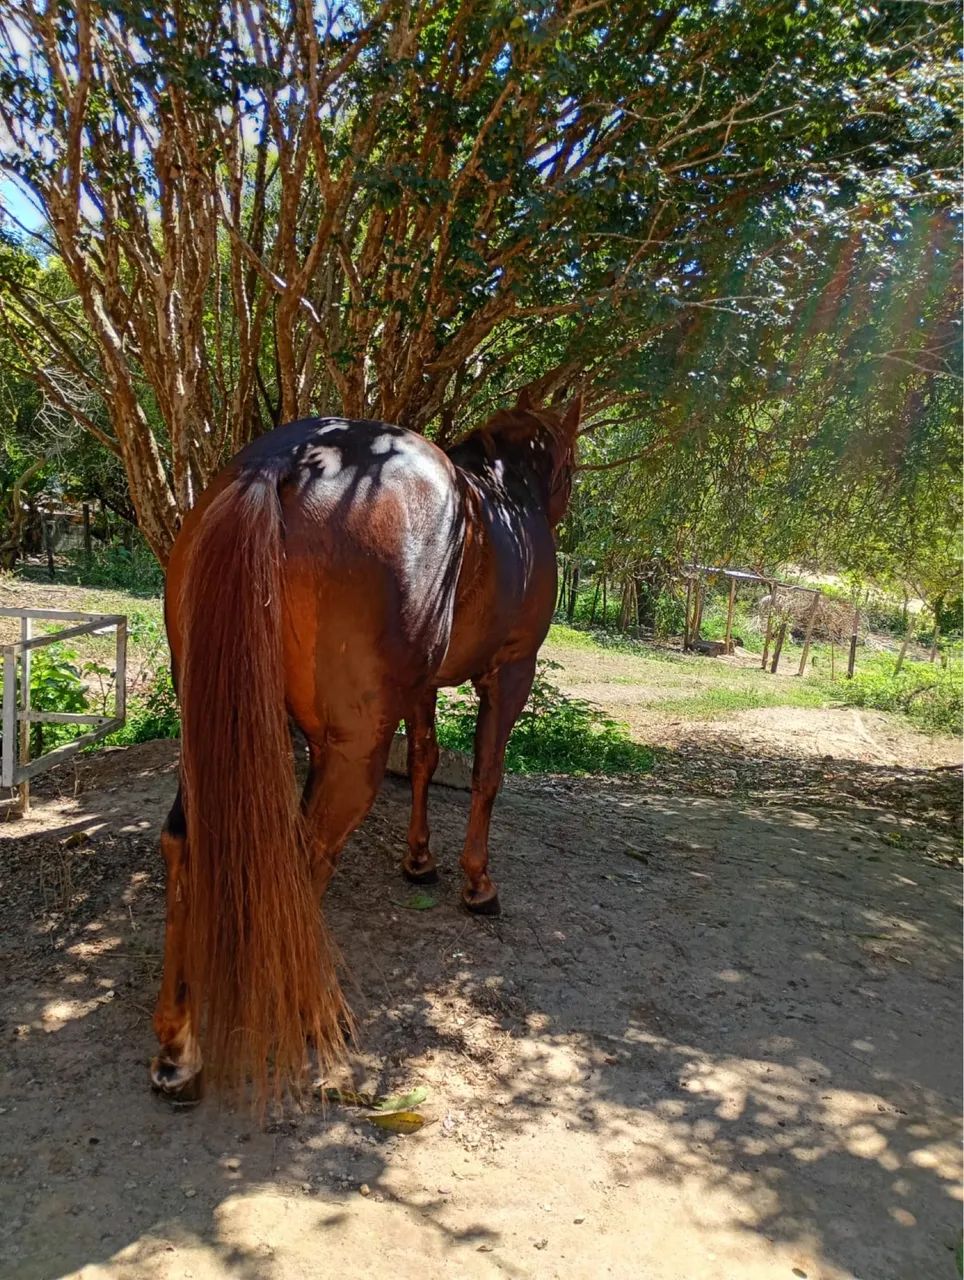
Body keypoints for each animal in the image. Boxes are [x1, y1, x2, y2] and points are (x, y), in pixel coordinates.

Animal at [151, 391, 581, 1104]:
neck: (503, 494)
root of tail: (286, 462)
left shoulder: (423, 687)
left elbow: (427, 760)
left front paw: (419, 861)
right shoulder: (510, 671)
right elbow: (487, 775)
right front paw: (477, 884)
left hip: (211, 730)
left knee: (187, 844)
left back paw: (180, 1049)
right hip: (351, 751)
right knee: (300, 858)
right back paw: (313, 1022)